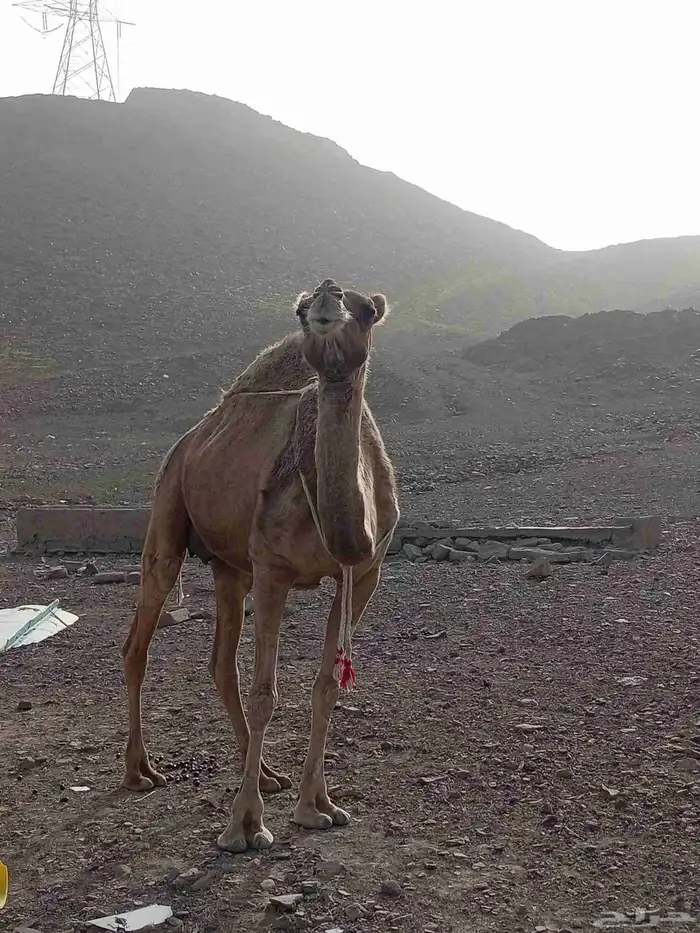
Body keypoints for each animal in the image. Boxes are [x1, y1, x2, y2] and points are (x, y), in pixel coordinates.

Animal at [121, 279, 400, 852]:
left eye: (365, 310)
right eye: (300, 311)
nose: (326, 296)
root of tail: (192, 438)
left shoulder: (363, 574)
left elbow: (326, 686)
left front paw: (318, 806)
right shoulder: (274, 570)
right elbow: (265, 693)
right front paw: (244, 825)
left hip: (231, 566)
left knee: (220, 661)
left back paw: (270, 774)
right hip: (168, 507)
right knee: (138, 643)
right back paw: (141, 771)